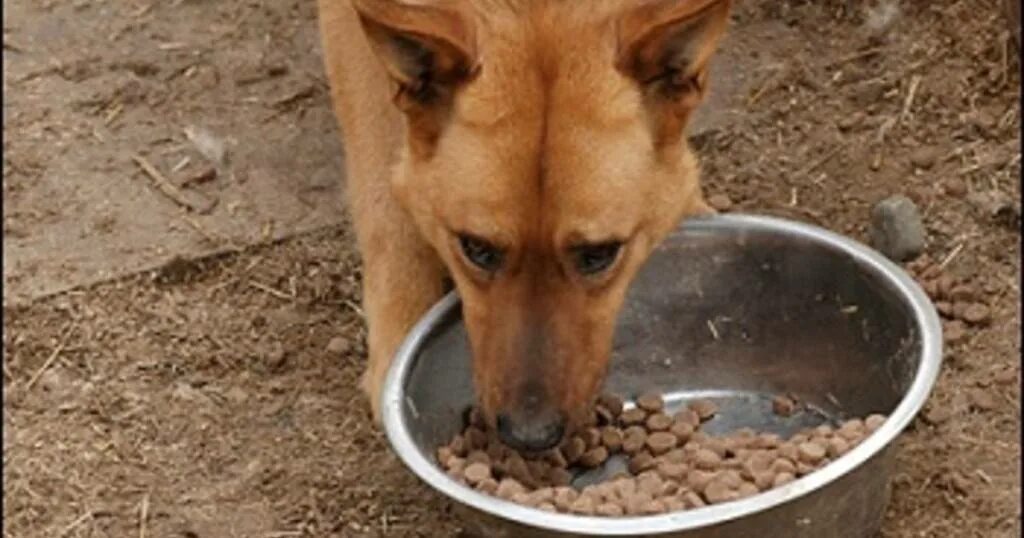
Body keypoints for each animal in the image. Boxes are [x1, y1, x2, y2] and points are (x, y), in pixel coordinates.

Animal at [317, 0, 729, 450]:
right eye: (476, 249)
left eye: (598, 255)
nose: (530, 435)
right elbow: (383, 188)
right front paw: (398, 332)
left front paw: (688, 201)